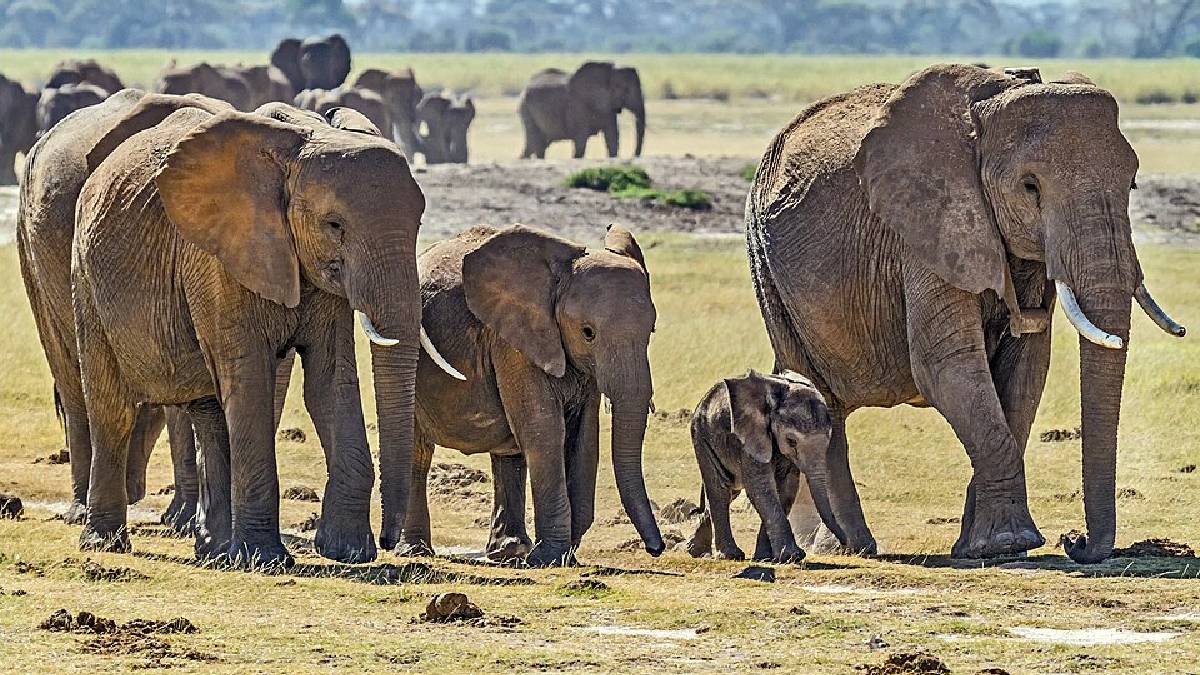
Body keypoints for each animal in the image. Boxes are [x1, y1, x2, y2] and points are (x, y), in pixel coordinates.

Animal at [69, 98, 460, 566]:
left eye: (419, 223)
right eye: (334, 225)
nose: (389, 541)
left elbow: (331, 382)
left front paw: (348, 551)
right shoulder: (219, 260)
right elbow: (251, 377)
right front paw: (265, 559)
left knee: (210, 411)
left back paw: (214, 551)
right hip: (85, 277)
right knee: (112, 406)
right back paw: (105, 542)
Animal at [403, 224, 664, 566]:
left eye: (652, 329)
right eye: (588, 332)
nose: (656, 549)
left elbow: (583, 438)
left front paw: (563, 555)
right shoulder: (512, 341)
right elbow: (543, 430)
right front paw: (549, 558)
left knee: (508, 451)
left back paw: (508, 552)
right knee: (419, 450)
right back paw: (415, 550)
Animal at [684, 370, 843, 563]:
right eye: (791, 441)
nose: (844, 542)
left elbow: (786, 488)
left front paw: (766, 558)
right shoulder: (748, 438)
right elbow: (761, 487)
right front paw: (793, 556)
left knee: (729, 492)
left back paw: (696, 551)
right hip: (702, 436)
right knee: (720, 489)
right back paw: (730, 555)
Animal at [745, 64, 1185, 563]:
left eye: (1132, 182)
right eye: (1030, 187)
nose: (1075, 541)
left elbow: (1025, 371)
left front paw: (983, 548)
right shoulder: (926, 226)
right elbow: (948, 367)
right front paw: (1011, 544)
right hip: (766, 265)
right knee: (819, 397)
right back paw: (854, 548)